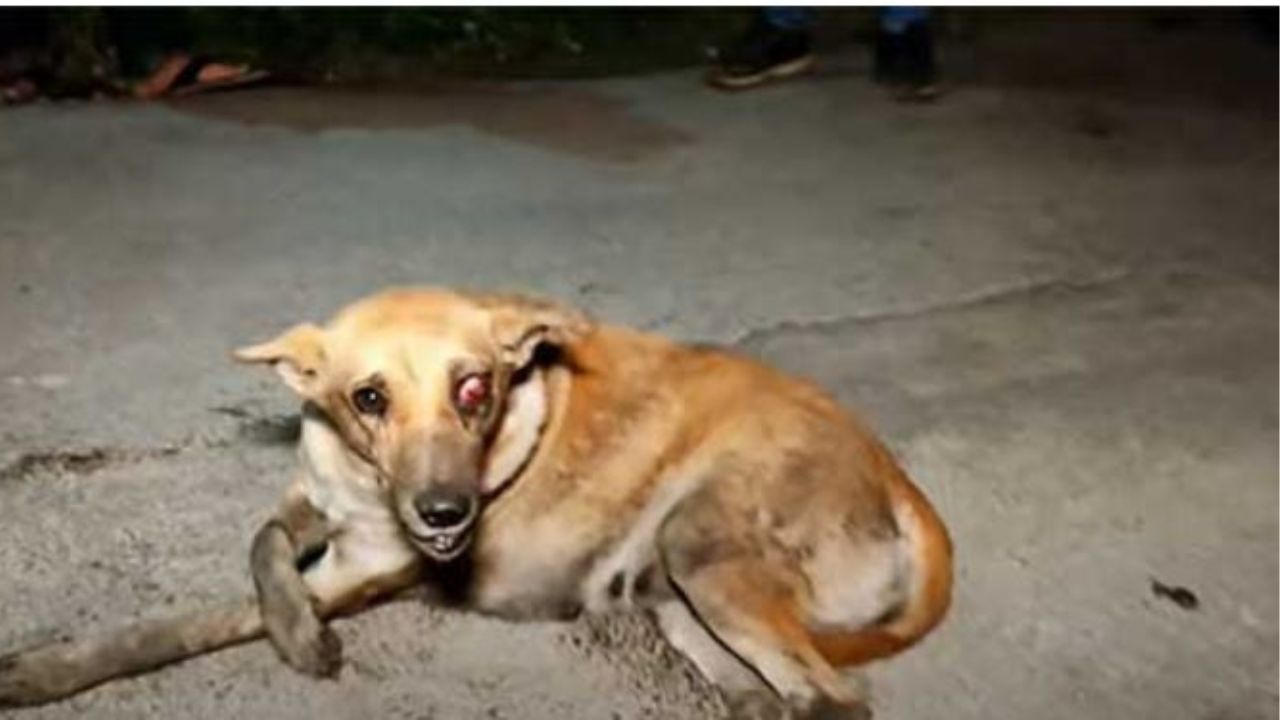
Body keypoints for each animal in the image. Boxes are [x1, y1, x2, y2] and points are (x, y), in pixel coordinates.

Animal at [0, 288, 952, 712]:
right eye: (367, 399)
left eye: (475, 389)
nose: (447, 517)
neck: (364, 484)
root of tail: (893, 473)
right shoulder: (309, 497)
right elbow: (262, 542)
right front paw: (292, 627)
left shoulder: (360, 571)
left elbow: (187, 623)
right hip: (672, 596)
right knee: (772, 696)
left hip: (702, 548)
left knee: (834, 699)